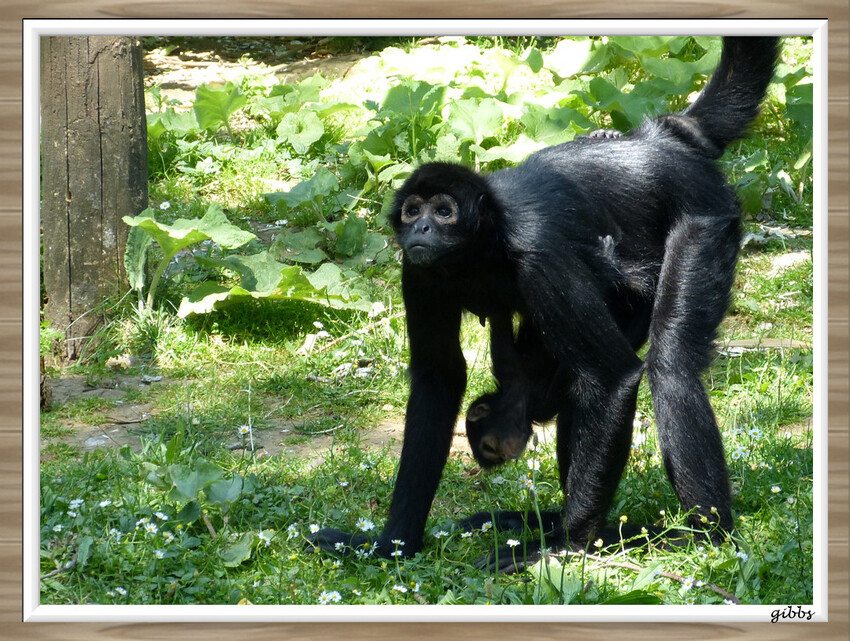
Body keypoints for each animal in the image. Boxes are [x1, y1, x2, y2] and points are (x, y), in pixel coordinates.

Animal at [308, 36, 780, 568]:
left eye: (444, 212)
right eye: (412, 211)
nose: (422, 227)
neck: (482, 252)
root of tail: (661, 141)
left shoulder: (539, 254)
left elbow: (612, 376)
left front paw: (562, 546)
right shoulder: (419, 269)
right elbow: (438, 379)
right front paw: (389, 546)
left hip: (704, 219)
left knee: (668, 364)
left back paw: (700, 536)